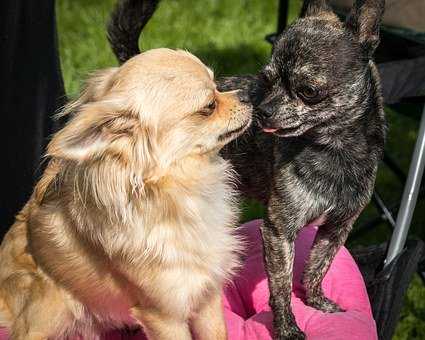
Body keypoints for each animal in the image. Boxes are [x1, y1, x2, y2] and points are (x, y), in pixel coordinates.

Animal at [0, 48, 252, 340]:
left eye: (217, 83)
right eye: (209, 106)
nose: (246, 94)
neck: (185, 190)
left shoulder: (206, 295)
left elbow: (216, 333)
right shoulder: (164, 315)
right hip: (53, 307)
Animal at [107, 0, 386, 338]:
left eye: (308, 91)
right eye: (266, 80)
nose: (261, 111)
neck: (334, 149)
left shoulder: (337, 229)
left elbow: (317, 268)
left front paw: (317, 302)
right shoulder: (279, 231)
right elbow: (280, 288)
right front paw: (287, 328)